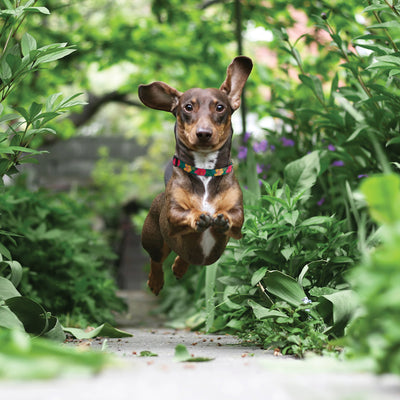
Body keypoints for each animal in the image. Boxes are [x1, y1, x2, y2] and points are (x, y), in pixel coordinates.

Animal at [139, 56, 252, 294]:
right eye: (188, 107)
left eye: (220, 107)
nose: (203, 133)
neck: (204, 172)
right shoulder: (173, 214)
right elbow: (184, 214)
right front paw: (199, 216)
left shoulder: (238, 214)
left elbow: (233, 217)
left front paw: (221, 219)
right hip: (154, 240)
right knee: (156, 259)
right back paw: (156, 281)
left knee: (185, 256)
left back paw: (180, 267)